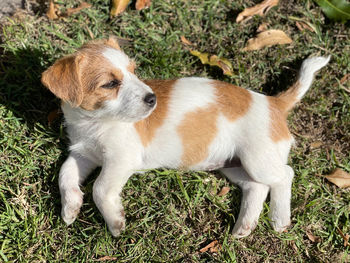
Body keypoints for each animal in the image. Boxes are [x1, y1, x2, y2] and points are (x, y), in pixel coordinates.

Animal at [41, 37, 330, 239]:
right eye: (110, 84)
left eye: (134, 71)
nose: (152, 99)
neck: (95, 122)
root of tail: (275, 103)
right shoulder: (83, 155)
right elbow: (65, 174)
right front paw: (70, 207)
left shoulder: (121, 159)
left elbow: (100, 188)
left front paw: (115, 222)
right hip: (234, 165)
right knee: (256, 187)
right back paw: (244, 227)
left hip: (258, 158)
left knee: (285, 175)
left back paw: (279, 219)